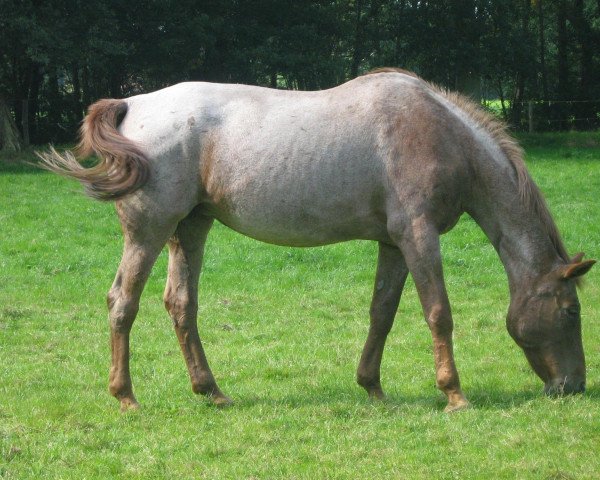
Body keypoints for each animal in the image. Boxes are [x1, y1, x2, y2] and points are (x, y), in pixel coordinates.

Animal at [38, 67, 596, 412]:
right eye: (571, 311)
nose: (572, 386)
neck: (443, 133)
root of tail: (131, 104)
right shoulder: (418, 235)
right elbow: (438, 311)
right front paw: (454, 394)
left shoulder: (394, 243)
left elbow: (382, 312)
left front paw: (373, 387)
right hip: (150, 230)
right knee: (122, 302)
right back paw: (126, 396)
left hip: (190, 228)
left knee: (181, 304)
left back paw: (212, 391)